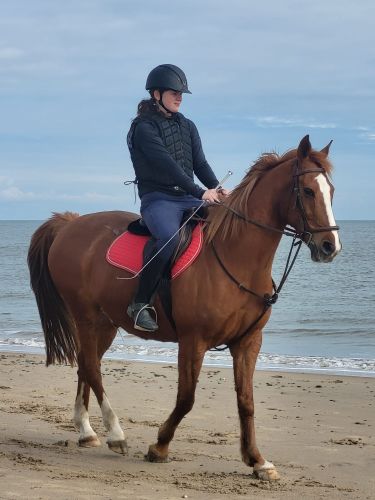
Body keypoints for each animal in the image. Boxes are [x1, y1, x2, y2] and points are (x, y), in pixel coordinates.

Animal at [27, 136, 342, 480]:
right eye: (308, 191)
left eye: (331, 190)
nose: (330, 246)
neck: (235, 256)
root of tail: (71, 223)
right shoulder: (193, 341)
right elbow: (186, 398)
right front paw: (160, 446)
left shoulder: (248, 342)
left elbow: (246, 402)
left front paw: (257, 460)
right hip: (84, 316)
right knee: (92, 368)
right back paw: (115, 433)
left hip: (105, 323)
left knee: (87, 364)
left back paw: (86, 431)